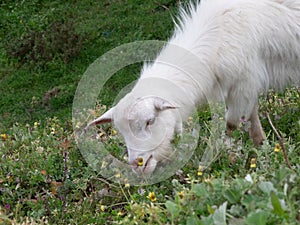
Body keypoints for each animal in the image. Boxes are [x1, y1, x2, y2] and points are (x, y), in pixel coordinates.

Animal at [86, 0, 300, 174]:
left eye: (150, 121)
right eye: (120, 130)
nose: (137, 164)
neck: (216, 34)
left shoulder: (244, 83)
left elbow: (232, 123)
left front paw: (229, 153)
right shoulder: (247, 84)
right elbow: (251, 115)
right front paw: (260, 144)